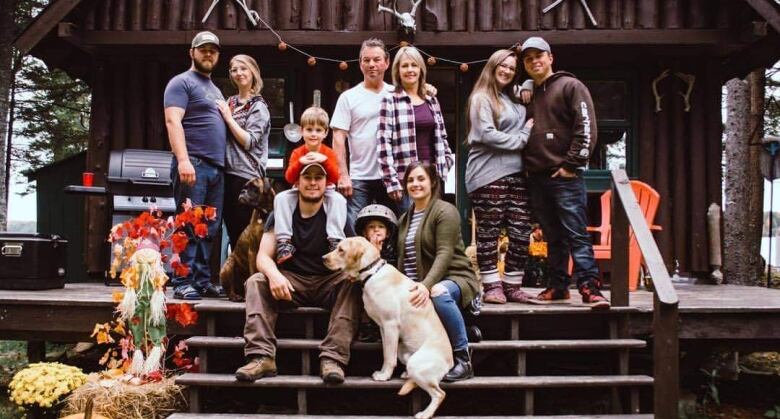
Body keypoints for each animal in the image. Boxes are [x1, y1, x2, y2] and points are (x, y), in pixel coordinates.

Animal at [322, 236, 454, 419]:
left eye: (341, 250)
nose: (323, 258)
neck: (371, 273)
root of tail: (450, 362)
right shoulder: (383, 328)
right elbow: (386, 353)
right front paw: (383, 372)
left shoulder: (390, 325)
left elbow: (389, 357)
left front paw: (384, 376)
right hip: (403, 352)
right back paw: (406, 375)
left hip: (417, 364)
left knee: (440, 393)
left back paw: (425, 413)